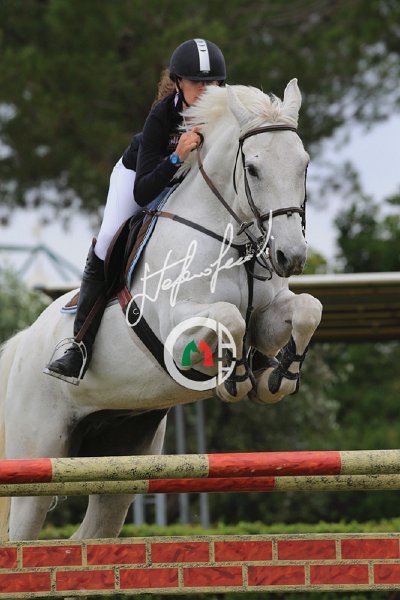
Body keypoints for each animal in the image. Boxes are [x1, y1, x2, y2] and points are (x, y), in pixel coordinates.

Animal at [0, 79, 322, 543]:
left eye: (304, 165)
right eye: (253, 169)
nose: (290, 257)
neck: (231, 240)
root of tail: (22, 346)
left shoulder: (271, 311)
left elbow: (307, 309)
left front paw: (276, 376)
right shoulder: (176, 327)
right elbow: (229, 318)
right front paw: (237, 377)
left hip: (123, 453)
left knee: (90, 535)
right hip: (38, 454)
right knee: (24, 531)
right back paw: (67, 360)